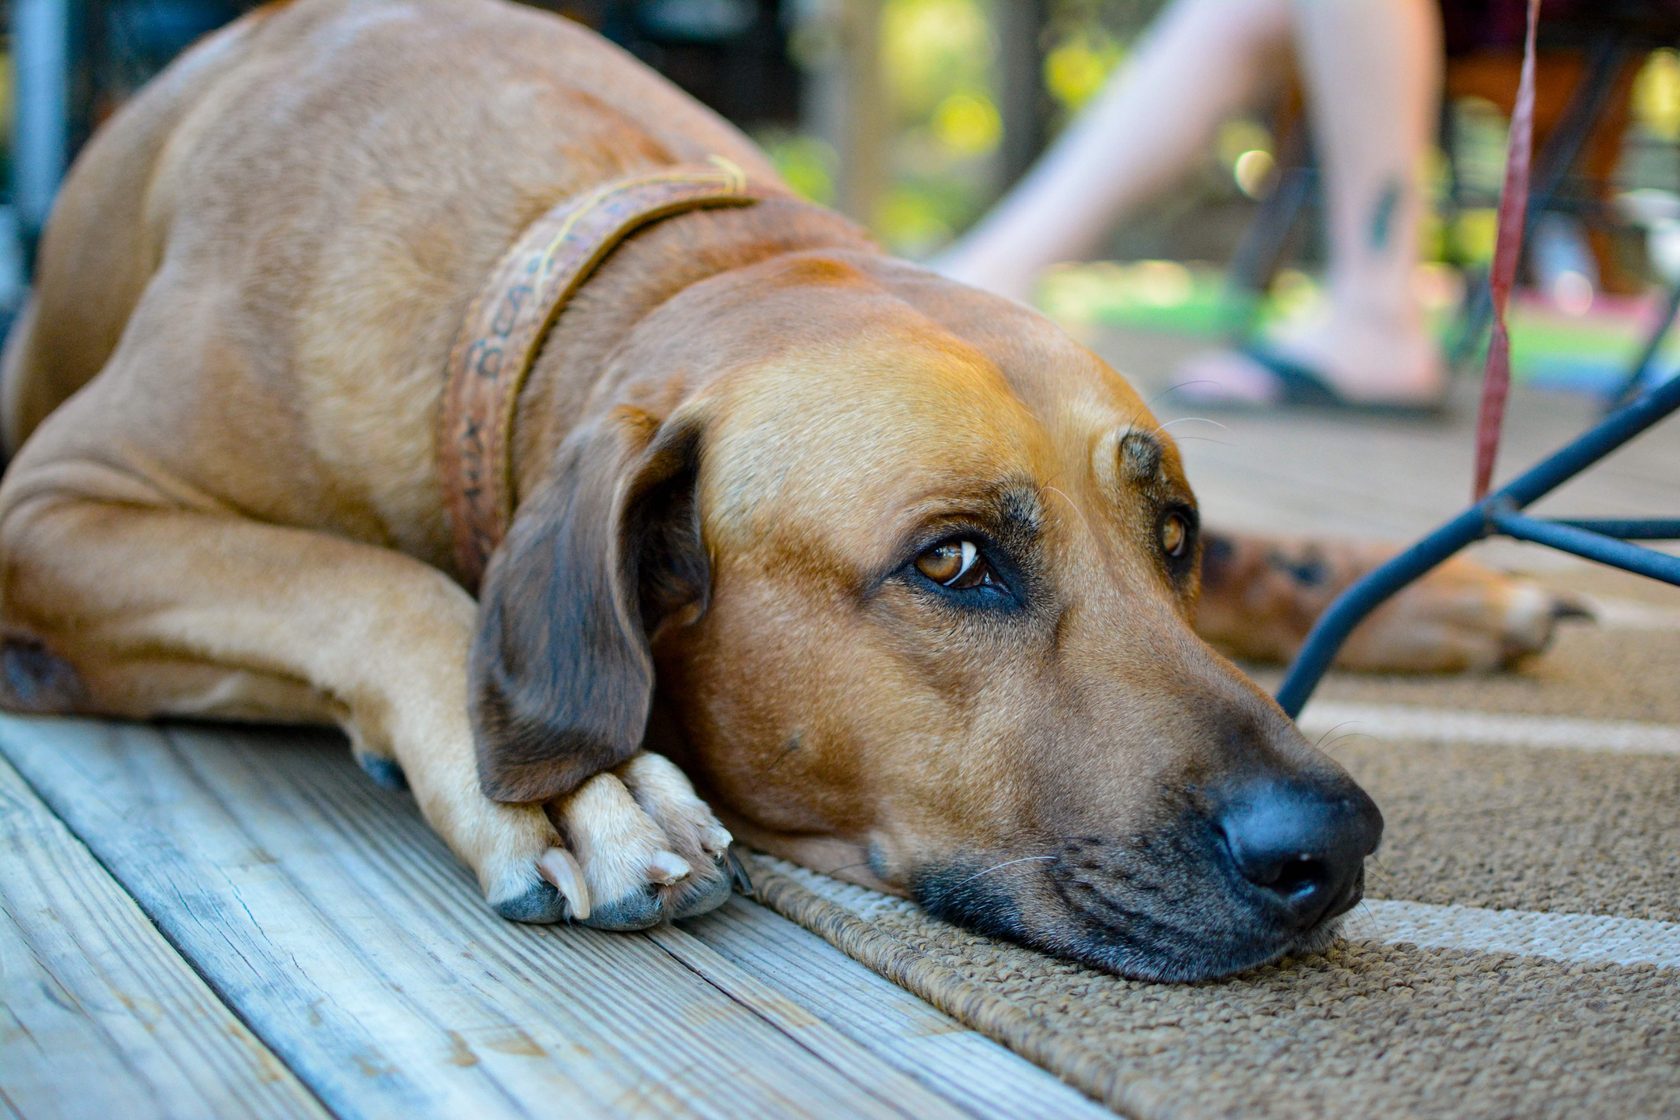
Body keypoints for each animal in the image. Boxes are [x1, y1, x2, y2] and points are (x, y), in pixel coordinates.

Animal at [0, 0, 1572, 980]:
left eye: (1170, 533)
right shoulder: (50, 509)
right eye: (952, 564)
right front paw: (581, 792)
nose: (1335, 846)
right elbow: (375, 580)